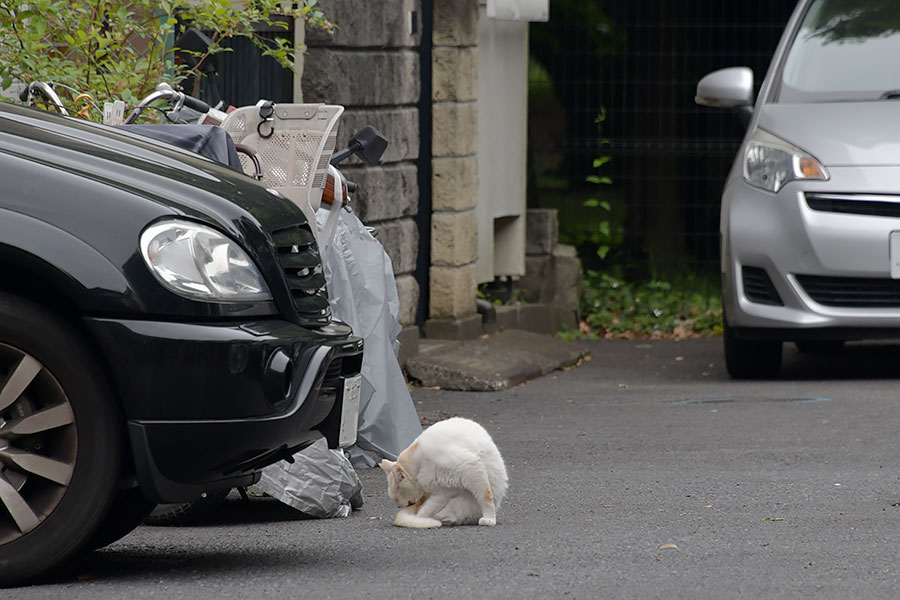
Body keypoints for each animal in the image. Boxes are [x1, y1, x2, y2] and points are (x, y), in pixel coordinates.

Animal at [378, 414, 506, 528]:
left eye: (397, 493)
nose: (398, 506)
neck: (421, 465)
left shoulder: (471, 468)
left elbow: (485, 497)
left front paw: (489, 518)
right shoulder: (441, 492)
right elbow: (424, 511)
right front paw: (419, 521)